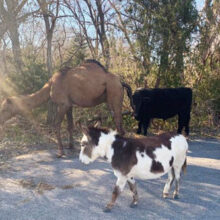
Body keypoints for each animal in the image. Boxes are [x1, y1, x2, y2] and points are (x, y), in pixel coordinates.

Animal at [0, 59, 134, 156]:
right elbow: (70, 125)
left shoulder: (62, 104)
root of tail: (121, 82)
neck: (50, 85)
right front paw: (71, 146)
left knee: (119, 124)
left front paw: (60, 151)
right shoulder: (69, 104)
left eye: (4, 108)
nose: (0, 120)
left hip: (114, 95)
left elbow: (56, 125)